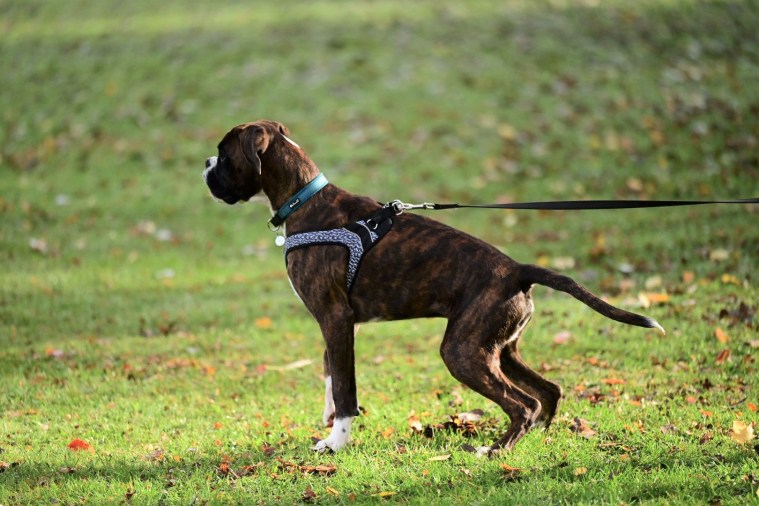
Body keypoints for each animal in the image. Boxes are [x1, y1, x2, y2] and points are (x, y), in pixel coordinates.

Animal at [203, 120, 664, 455]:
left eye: (224, 155)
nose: (205, 164)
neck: (304, 200)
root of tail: (516, 269)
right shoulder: (333, 326)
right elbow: (332, 377)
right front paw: (331, 426)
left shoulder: (336, 319)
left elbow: (346, 388)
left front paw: (336, 443)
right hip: (499, 348)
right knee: (548, 392)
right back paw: (534, 441)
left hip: (462, 351)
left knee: (524, 403)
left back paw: (495, 451)